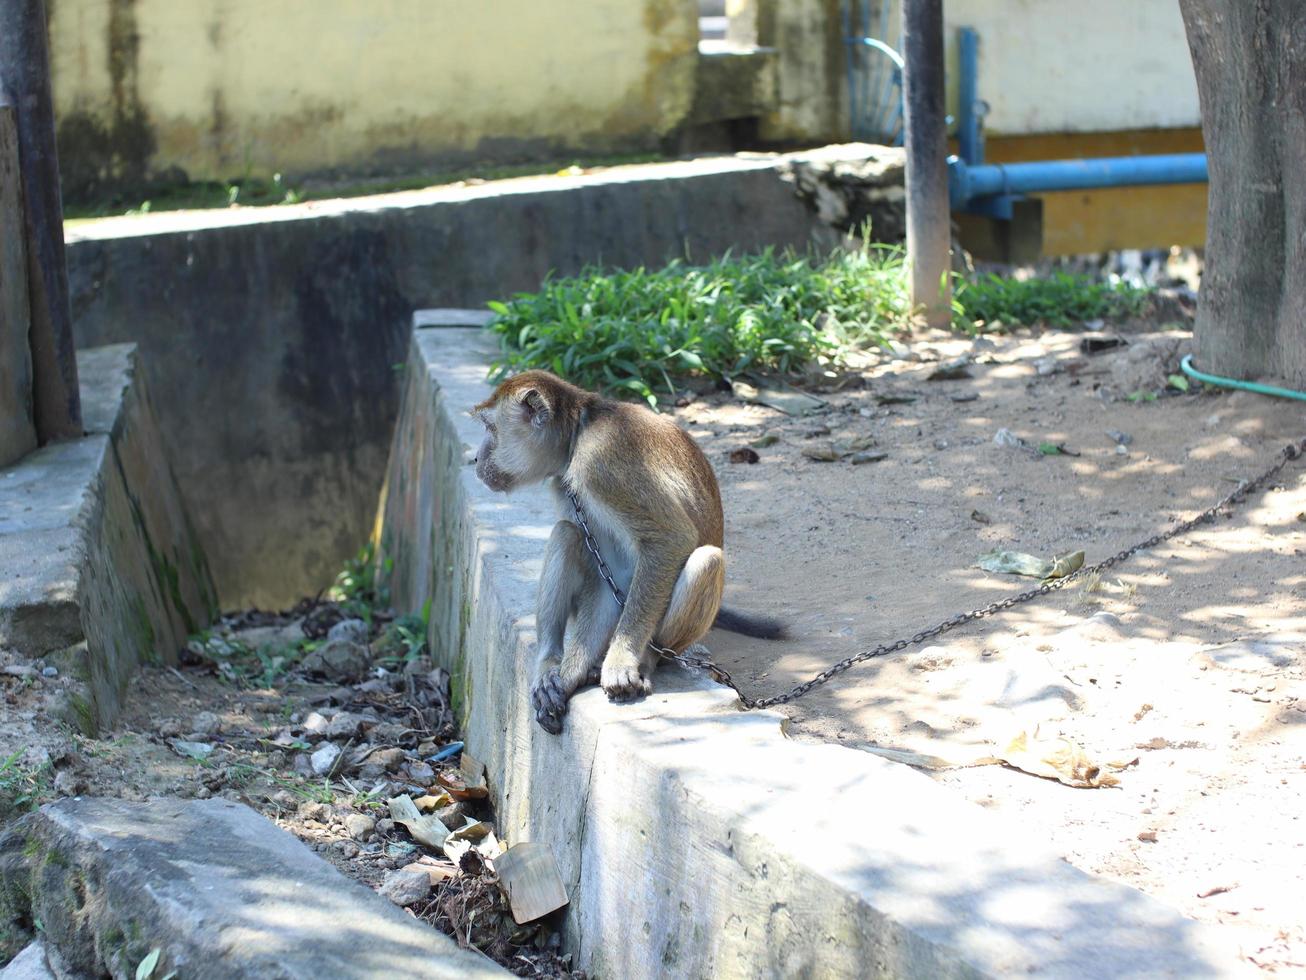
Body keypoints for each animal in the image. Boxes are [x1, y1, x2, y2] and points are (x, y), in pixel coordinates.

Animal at [477, 371, 783, 731]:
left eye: (490, 428)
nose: (476, 458)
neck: (580, 429)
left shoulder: (600, 465)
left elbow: (670, 540)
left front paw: (621, 660)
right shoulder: (568, 484)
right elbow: (609, 576)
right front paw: (568, 674)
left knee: (706, 560)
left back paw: (648, 659)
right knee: (567, 533)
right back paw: (549, 661)